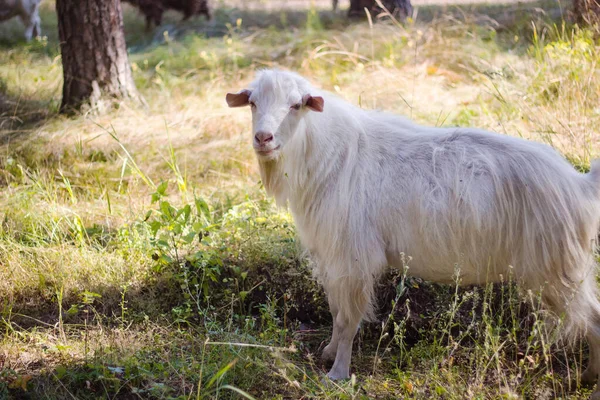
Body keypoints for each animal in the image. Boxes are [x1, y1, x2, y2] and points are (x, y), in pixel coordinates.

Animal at [226, 69, 600, 394]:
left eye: (296, 105)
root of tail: (580, 185)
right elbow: (336, 311)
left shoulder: (353, 257)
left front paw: (337, 374)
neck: (330, 157)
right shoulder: (334, 258)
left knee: (592, 318)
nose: (263, 138)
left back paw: (590, 380)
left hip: (557, 269)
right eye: (253, 102)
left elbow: (349, 319)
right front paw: (329, 352)